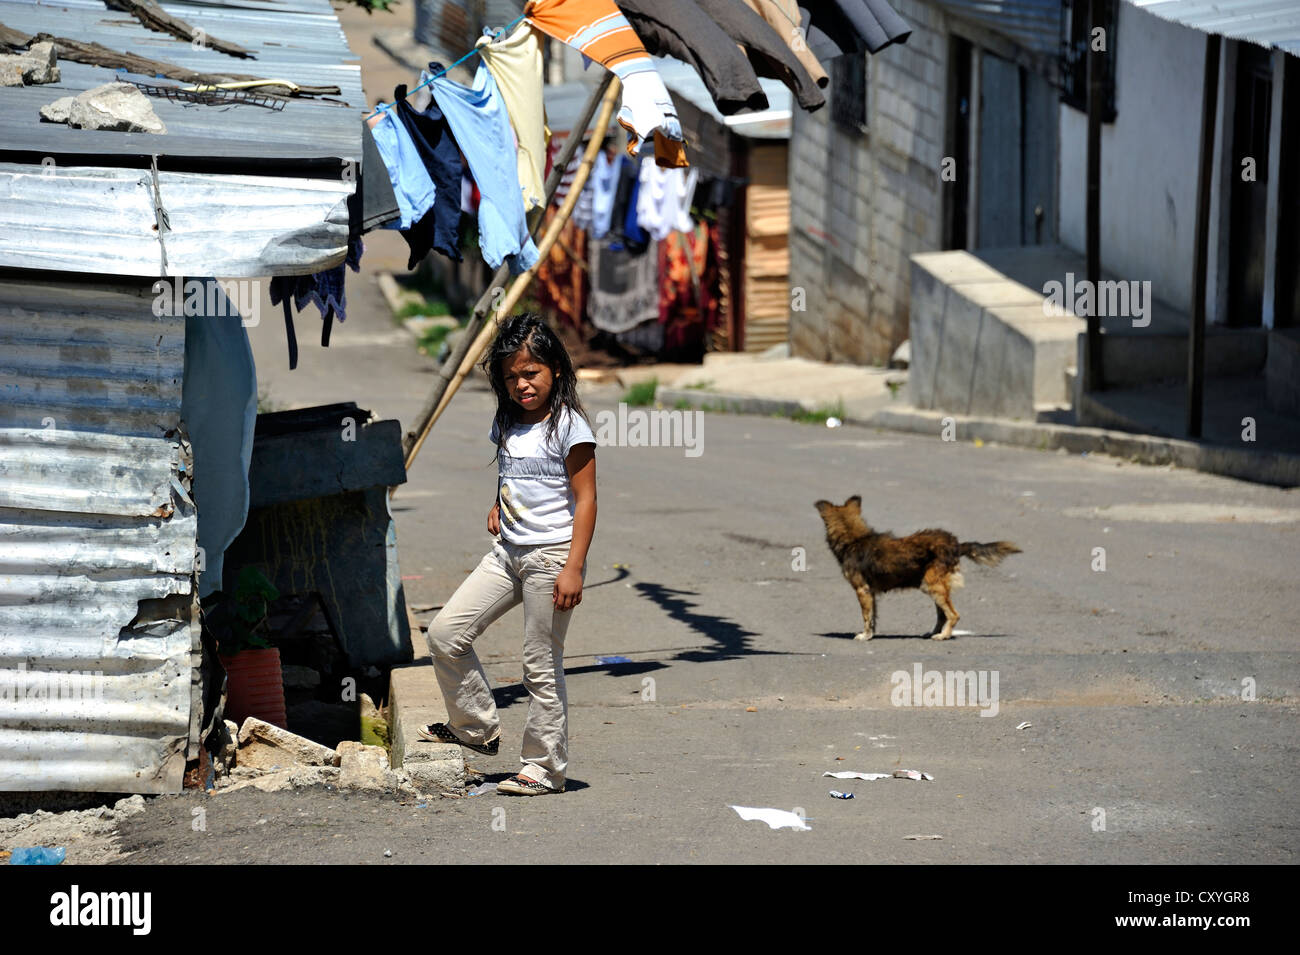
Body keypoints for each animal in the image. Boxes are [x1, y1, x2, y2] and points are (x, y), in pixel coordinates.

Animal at [816, 493, 1019, 641]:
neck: (854, 539)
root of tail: (956, 545)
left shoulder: (862, 590)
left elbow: (866, 617)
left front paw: (864, 636)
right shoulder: (871, 593)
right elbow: (873, 617)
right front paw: (871, 635)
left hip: (932, 585)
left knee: (954, 615)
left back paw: (943, 636)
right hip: (934, 586)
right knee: (942, 615)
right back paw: (934, 632)